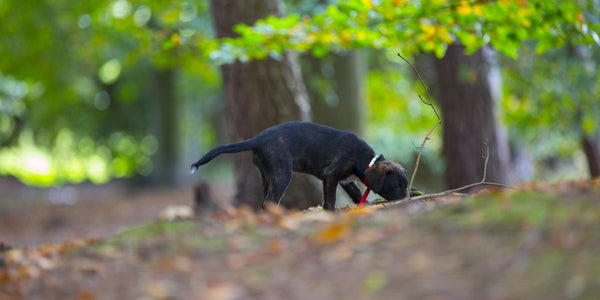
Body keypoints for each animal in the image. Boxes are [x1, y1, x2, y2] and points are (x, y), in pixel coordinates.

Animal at [191, 120, 408, 210]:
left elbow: (356, 194)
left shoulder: (346, 181)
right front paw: (330, 214)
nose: (406, 198)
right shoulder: (331, 176)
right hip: (282, 173)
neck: (365, 160)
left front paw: (366, 206)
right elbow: (330, 200)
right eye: (397, 186)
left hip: (267, 175)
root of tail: (258, 139)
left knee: (265, 201)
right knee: (270, 200)